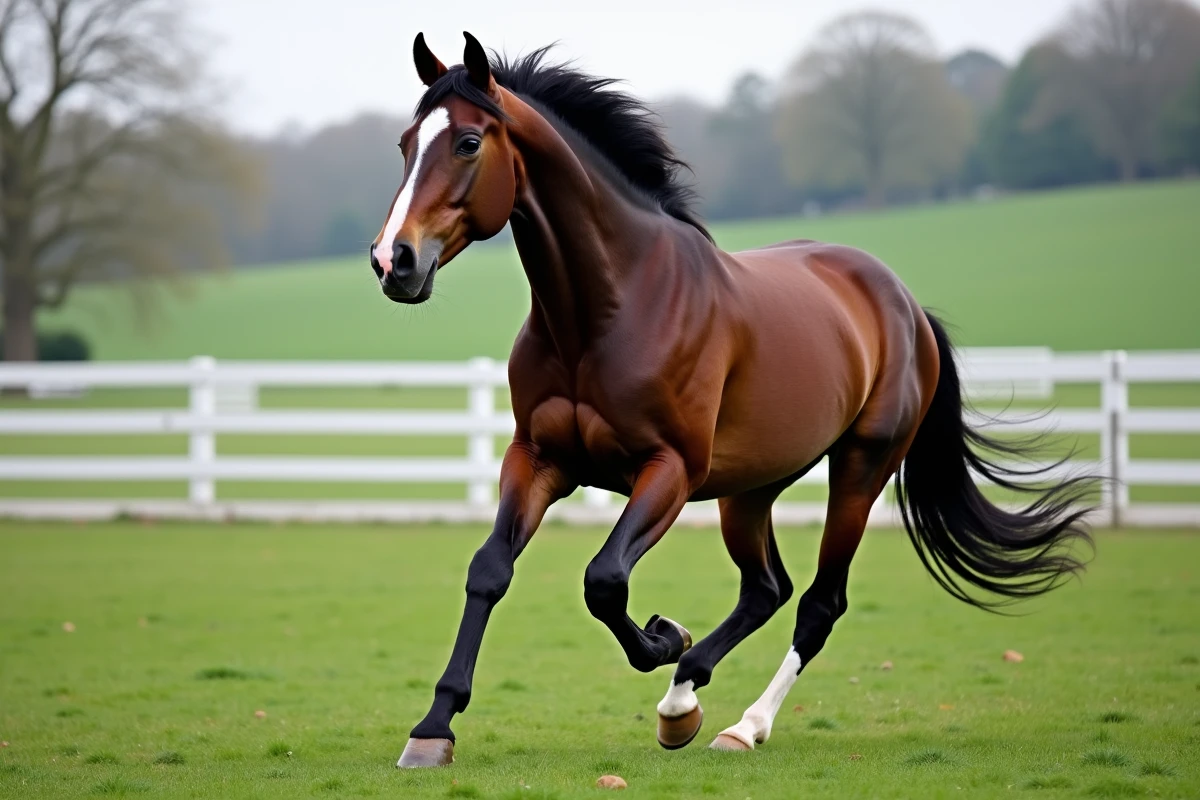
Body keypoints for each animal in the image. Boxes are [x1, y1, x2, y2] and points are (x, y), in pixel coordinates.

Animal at [369, 32, 1093, 768]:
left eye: (467, 143)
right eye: (405, 144)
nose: (394, 262)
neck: (609, 309)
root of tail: (905, 304)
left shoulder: (669, 471)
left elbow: (605, 580)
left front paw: (667, 635)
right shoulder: (540, 459)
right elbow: (490, 570)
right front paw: (433, 729)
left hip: (861, 468)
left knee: (818, 603)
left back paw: (739, 724)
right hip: (750, 488)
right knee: (766, 588)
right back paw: (682, 703)